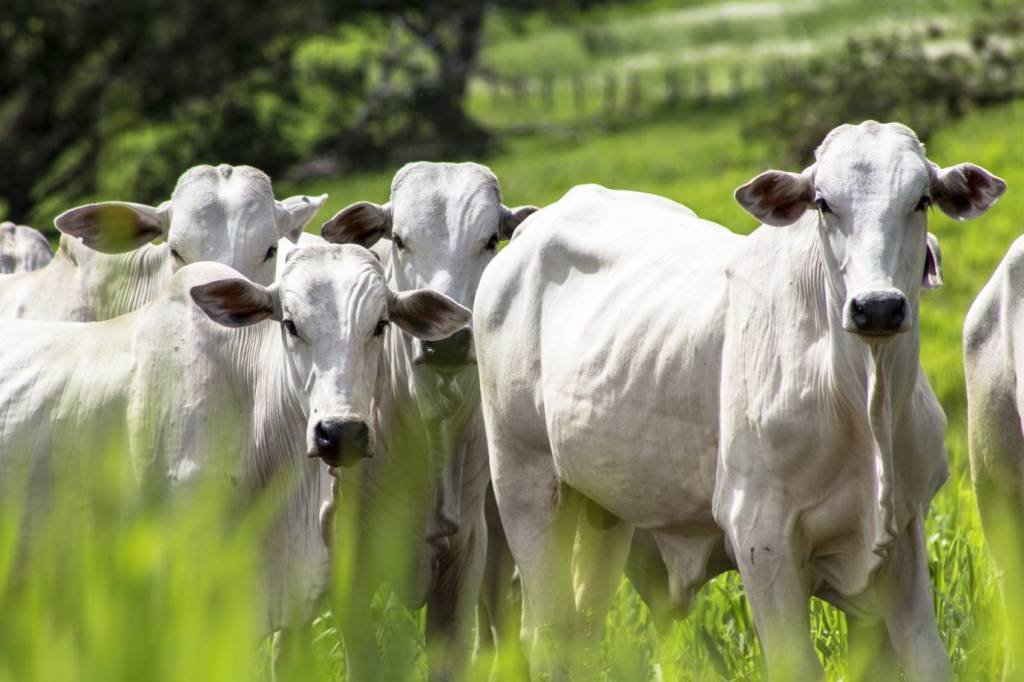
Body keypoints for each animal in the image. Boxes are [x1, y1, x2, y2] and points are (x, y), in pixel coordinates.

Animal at [475, 123, 1003, 679]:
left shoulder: (903, 532)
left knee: (578, 628)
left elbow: (927, 657)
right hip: (525, 485)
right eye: (822, 203)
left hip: (601, 507)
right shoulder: (761, 538)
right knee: (550, 633)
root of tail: (531, 231)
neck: (863, 400)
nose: (877, 307)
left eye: (921, 199)